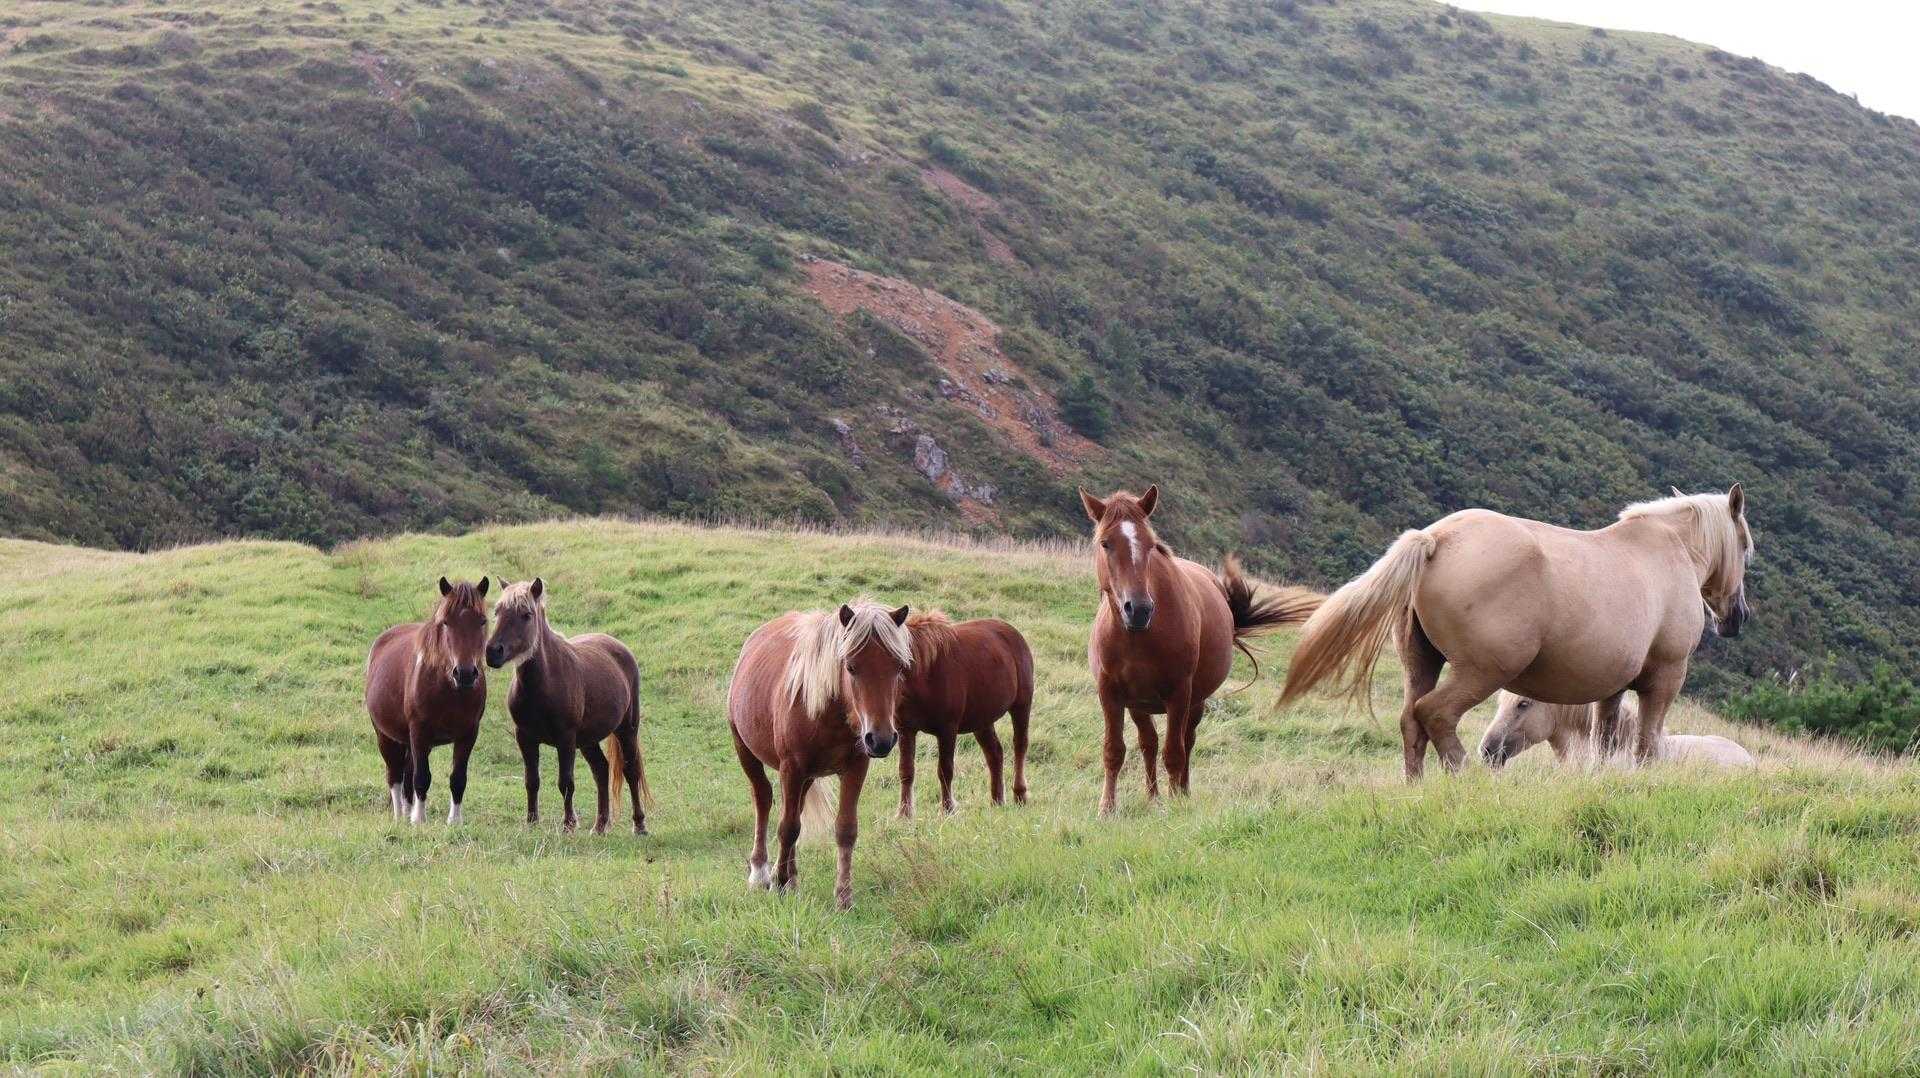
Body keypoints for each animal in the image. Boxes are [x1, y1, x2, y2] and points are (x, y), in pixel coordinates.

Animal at [365, 577, 489, 825]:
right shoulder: (419, 732)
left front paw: (454, 822)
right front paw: (419, 820)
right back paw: (400, 817)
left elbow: (458, 778)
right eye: (446, 622)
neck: (450, 690)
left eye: (482, 621)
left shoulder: (468, 734)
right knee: (395, 776)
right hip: (385, 736)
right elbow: (421, 777)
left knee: (407, 775)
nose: (465, 674)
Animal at [485, 578, 652, 834]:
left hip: (627, 729)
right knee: (601, 770)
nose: (493, 652)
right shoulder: (524, 737)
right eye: (497, 612)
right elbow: (531, 780)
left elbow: (566, 782)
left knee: (630, 771)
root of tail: (618, 647)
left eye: (526, 614)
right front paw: (531, 822)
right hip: (588, 740)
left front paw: (568, 825)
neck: (544, 683)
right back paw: (599, 826)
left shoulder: (566, 739)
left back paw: (639, 825)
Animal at [728, 599, 911, 909]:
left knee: (796, 810)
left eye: (898, 667)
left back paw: (791, 877)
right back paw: (761, 873)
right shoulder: (792, 768)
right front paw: (779, 884)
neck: (830, 712)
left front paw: (843, 897)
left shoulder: (855, 768)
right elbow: (787, 827)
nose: (881, 740)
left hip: (807, 777)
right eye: (851, 667)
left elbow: (845, 829)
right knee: (763, 800)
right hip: (747, 752)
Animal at [894, 611, 1034, 818]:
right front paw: (904, 815)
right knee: (994, 753)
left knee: (1020, 745)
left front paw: (947, 810)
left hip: (1022, 705)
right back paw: (997, 801)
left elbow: (945, 769)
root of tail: (1012, 632)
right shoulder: (906, 729)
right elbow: (906, 770)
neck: (925, 674)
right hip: (982, 719)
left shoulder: (947, 729)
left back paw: (1019, 795)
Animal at [1081, 485, 1323, 815]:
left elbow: (1174, 751)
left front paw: (1176, 804)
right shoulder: (1110, 694)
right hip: (1139, 705)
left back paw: (1180, 793)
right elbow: (1114, 750)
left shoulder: (1179, 693)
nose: (1139, 609)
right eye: (1105, 543)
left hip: (1194, 702)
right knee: (1148, 743)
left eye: (1151, 544)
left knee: (1185, 741)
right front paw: (1107, 808)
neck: (1139, 637)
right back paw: (1153, 797)